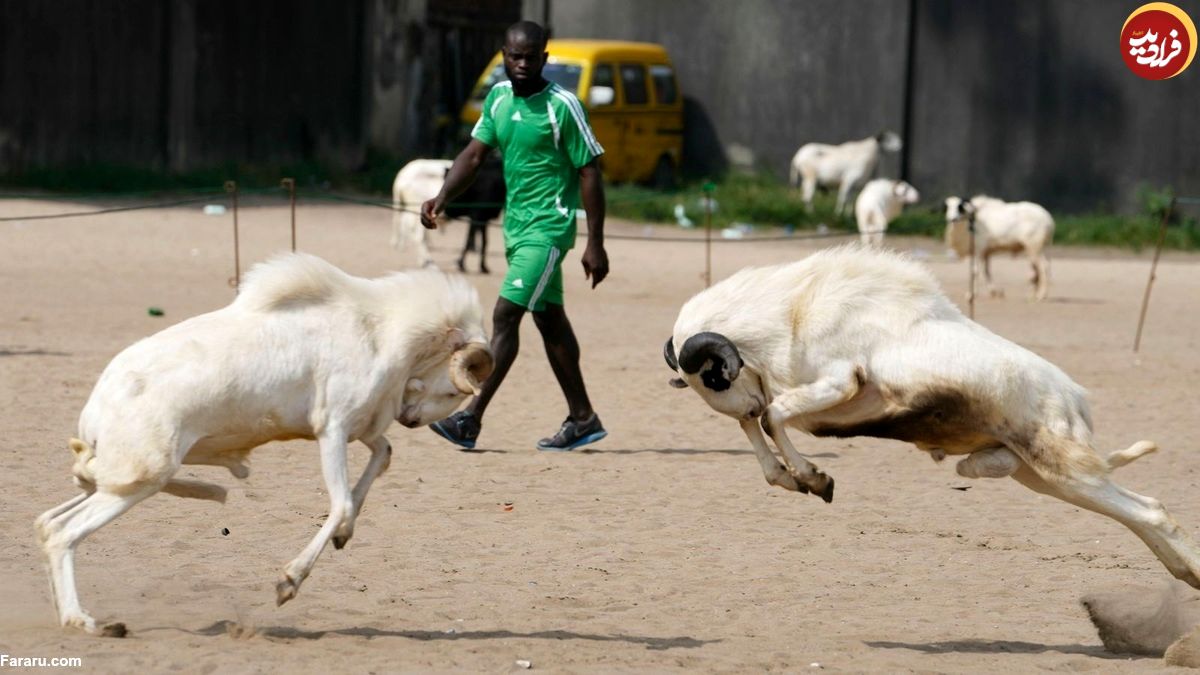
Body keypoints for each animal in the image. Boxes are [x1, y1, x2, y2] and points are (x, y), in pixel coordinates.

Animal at [34, 251, 492, 629]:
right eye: (457, 390)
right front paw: (289, 582)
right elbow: (342, 502)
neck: (380, 330)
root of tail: (95, 408)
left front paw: (345, 535)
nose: (411, 421)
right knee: (63, 533)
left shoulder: (361, 428)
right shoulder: (333, 428)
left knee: (46, 522)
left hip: (115, 478)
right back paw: (83, 621)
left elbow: (381, 457)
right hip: (140, 478)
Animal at [667, 243, 1200, 586]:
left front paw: (816, 480)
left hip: (1066, 469)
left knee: (1152, 511)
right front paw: (795, 480)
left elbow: (772, 417)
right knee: (1140, 513)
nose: (745, 399)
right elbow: (759, 426)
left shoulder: (838, 382)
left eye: (714, 376)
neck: (793, 311)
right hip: (1041, 477)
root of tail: (1075, 398)